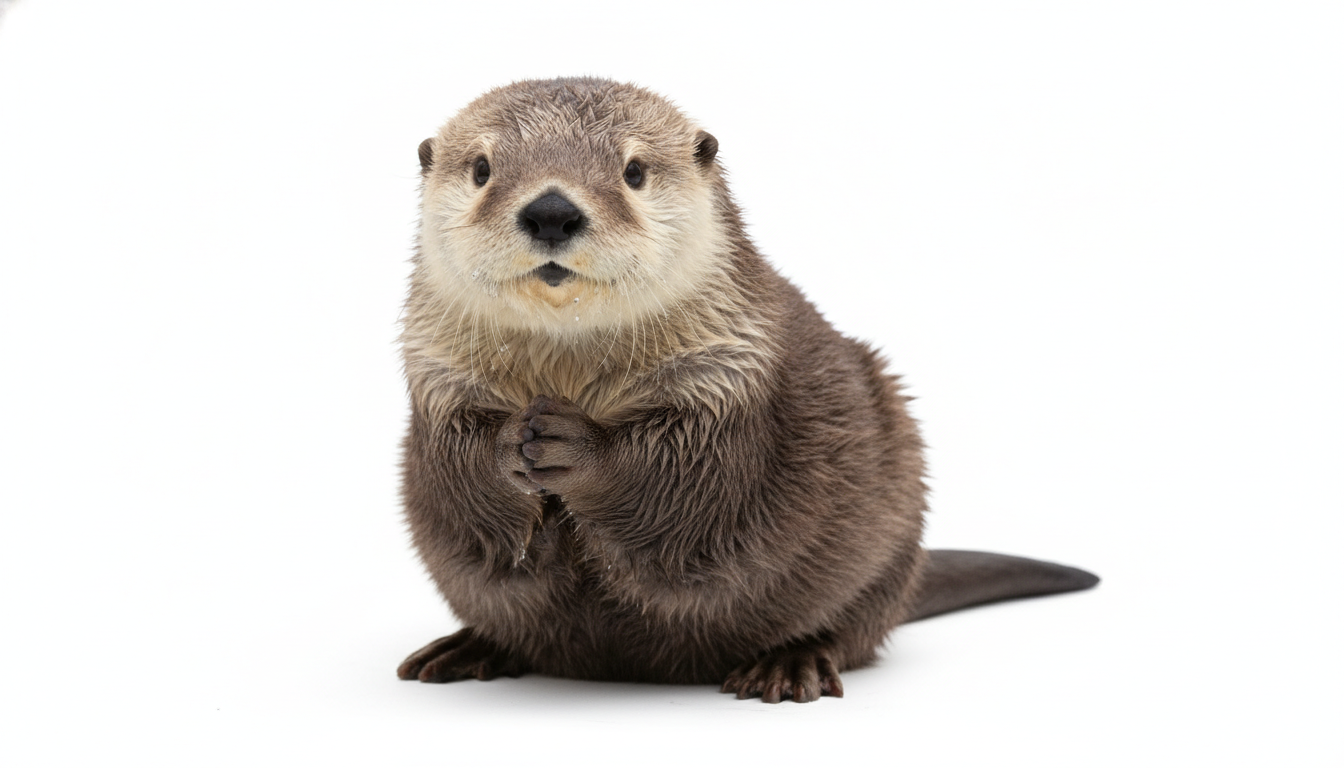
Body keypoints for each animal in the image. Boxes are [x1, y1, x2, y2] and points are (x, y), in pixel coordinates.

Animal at [396, 77, 1097, 703]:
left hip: (892, 508)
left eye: (633, 171)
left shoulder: (731, 376)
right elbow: (456, 480)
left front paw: (574, 445)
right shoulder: (435, 380)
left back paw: (790, 665)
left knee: (852, 626)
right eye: (483, 168)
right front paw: (507, 443)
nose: (551, 211)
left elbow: (689, 486)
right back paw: (464, 650)